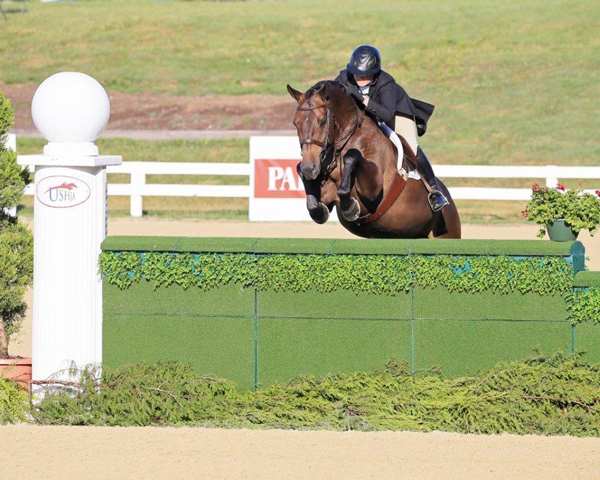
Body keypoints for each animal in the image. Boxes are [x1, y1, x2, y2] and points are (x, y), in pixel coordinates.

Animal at [288, 82, 462, 242]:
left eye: (323, 121)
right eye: (295, 123)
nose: (310, 168)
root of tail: (449, 198)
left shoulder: (373, 189)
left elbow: (352, 156)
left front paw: (350, 208)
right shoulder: (325, 195)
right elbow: (314, 205)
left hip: (446, 233)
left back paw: (437, 199)